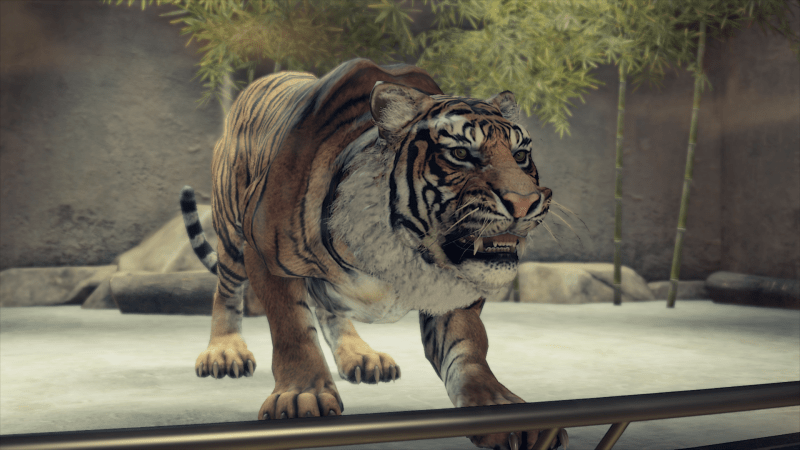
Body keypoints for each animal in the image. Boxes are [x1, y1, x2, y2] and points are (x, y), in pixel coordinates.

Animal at [180, 58, 566, 450]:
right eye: (460, 154)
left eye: (520, 156)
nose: (525, 202)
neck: (401, 251)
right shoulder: (264, 254)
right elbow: (293, 330)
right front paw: (302, 395)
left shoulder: (456, 291)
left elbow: (468, 345)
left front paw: (500, 407)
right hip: (231, 231)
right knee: (227, 290)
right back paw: (224, 352)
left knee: (328, 307)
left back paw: (360, 355)